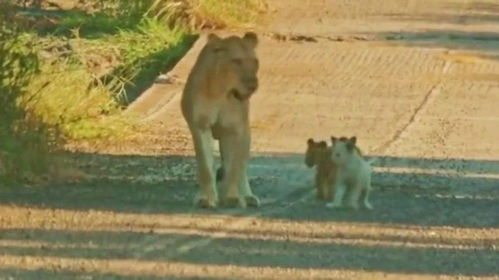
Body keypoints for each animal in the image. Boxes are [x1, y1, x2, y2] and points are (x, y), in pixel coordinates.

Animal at [183, 32, 262, 208]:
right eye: (236, 61)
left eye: (255, 62)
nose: (253, 85)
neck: (221, 91)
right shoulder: (200, 126)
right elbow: (206, 167)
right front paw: (207, 199)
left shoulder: (234, 130)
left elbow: (234, 169)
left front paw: (232, 198)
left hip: (245, 135)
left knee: (240, 168)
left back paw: (247, 196)